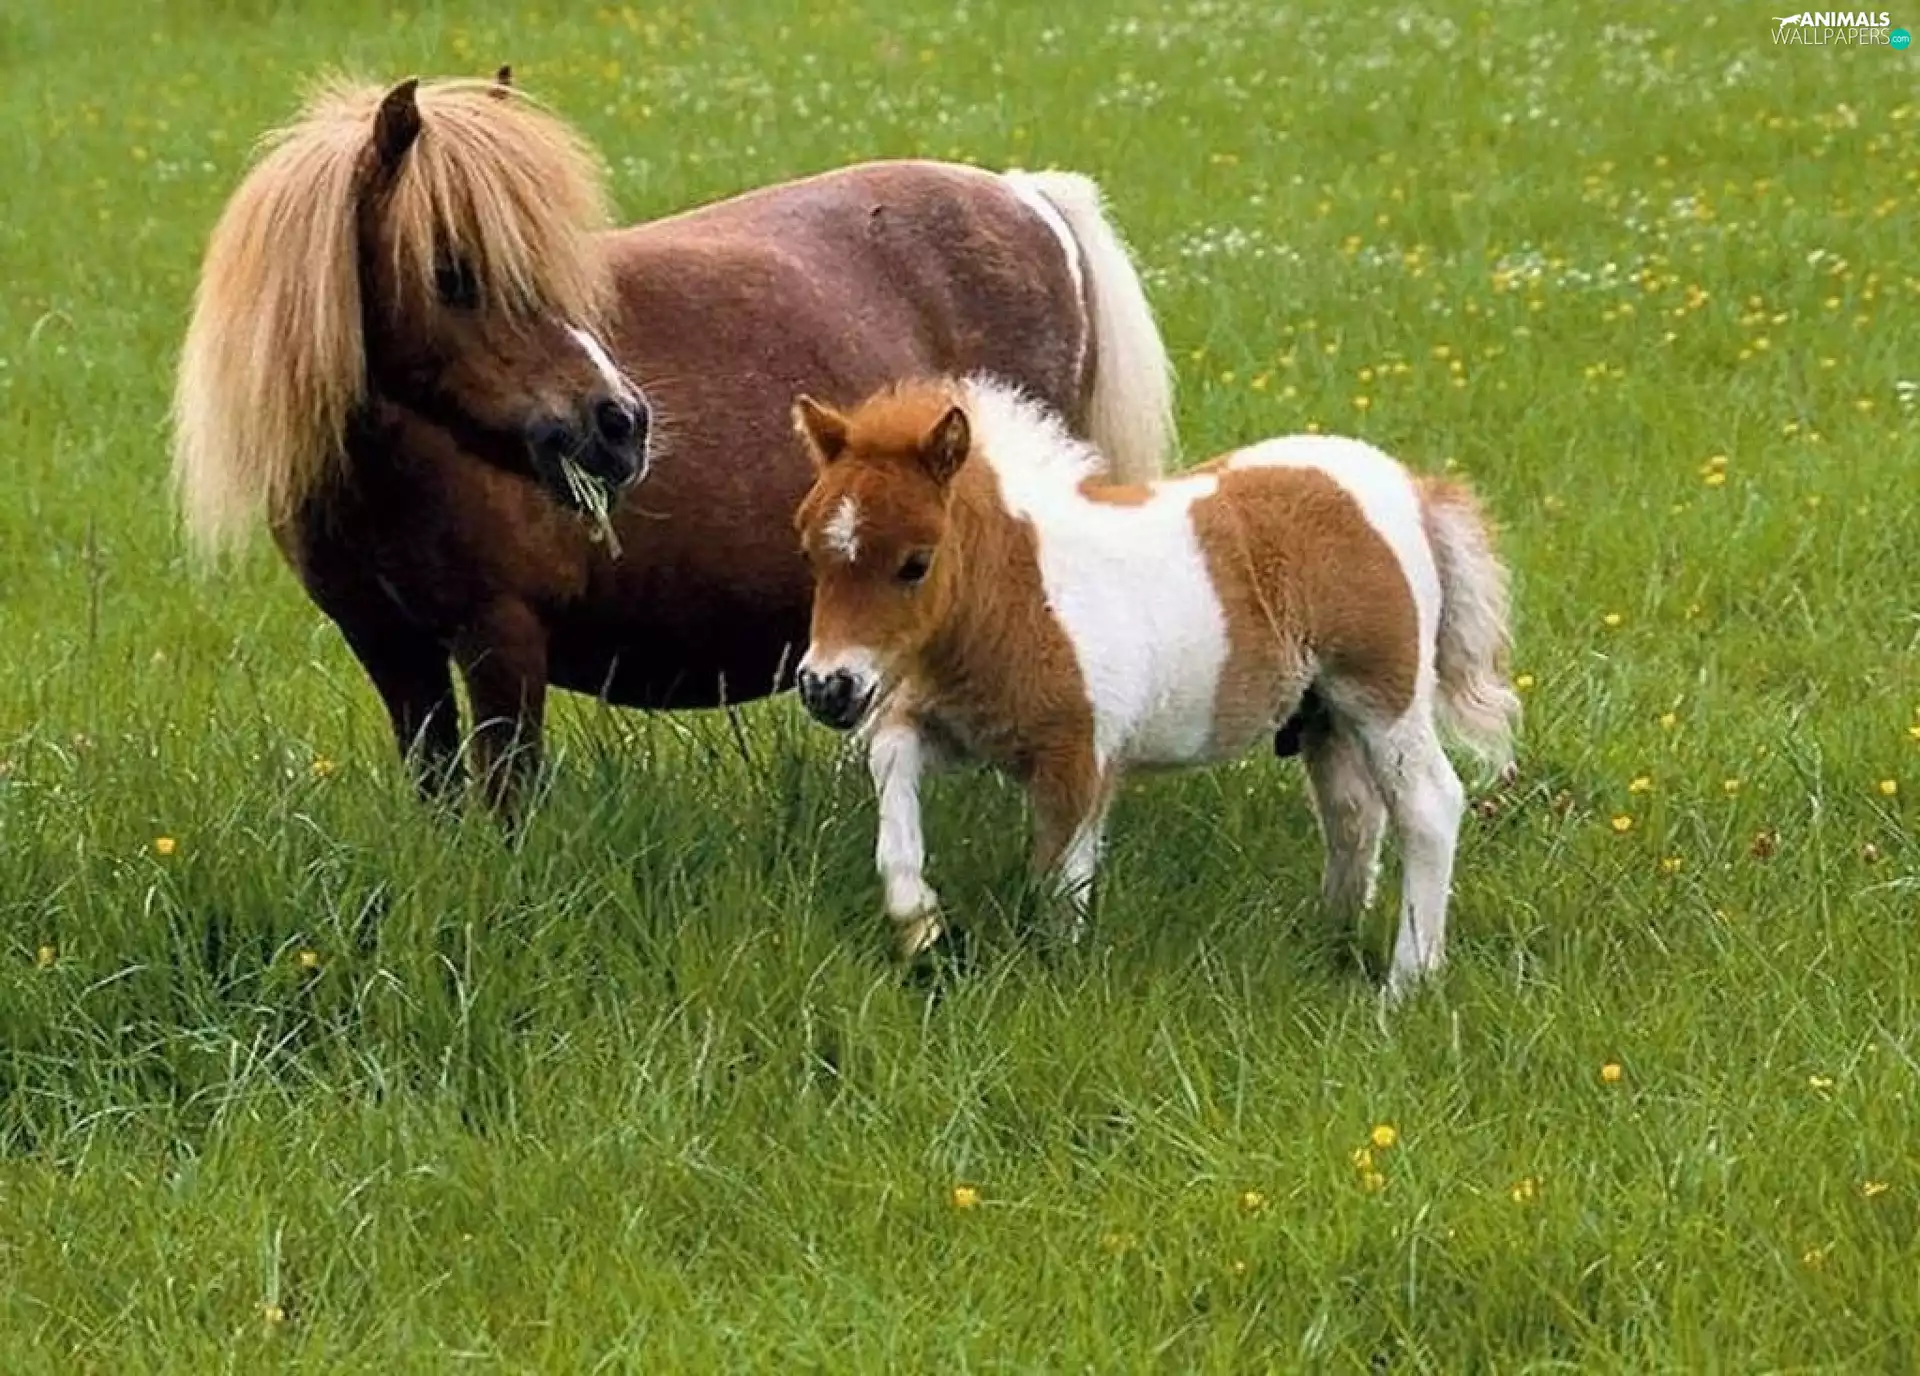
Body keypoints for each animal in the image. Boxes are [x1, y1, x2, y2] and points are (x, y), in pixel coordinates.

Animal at [171, 69, 1175, 813]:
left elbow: (506, 801)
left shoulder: (501, 639)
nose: (619, 423)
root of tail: (1028, 199)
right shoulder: (391, 649)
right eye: (453, 272)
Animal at [789, 377, 1520, 997]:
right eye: (811, 554)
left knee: (1429, 806)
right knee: (1352, 814)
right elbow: (891, 763)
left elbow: (1058, 882)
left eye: (916, 563)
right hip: (1325, 715)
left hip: (1383, 697)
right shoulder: (958, 730)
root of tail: (1413, 489)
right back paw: (1330, 939)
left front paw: (1053, 983)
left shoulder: (1079, 760)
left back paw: (1405, 985)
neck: (1026, 595)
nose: (827, 687)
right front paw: (919, 920)